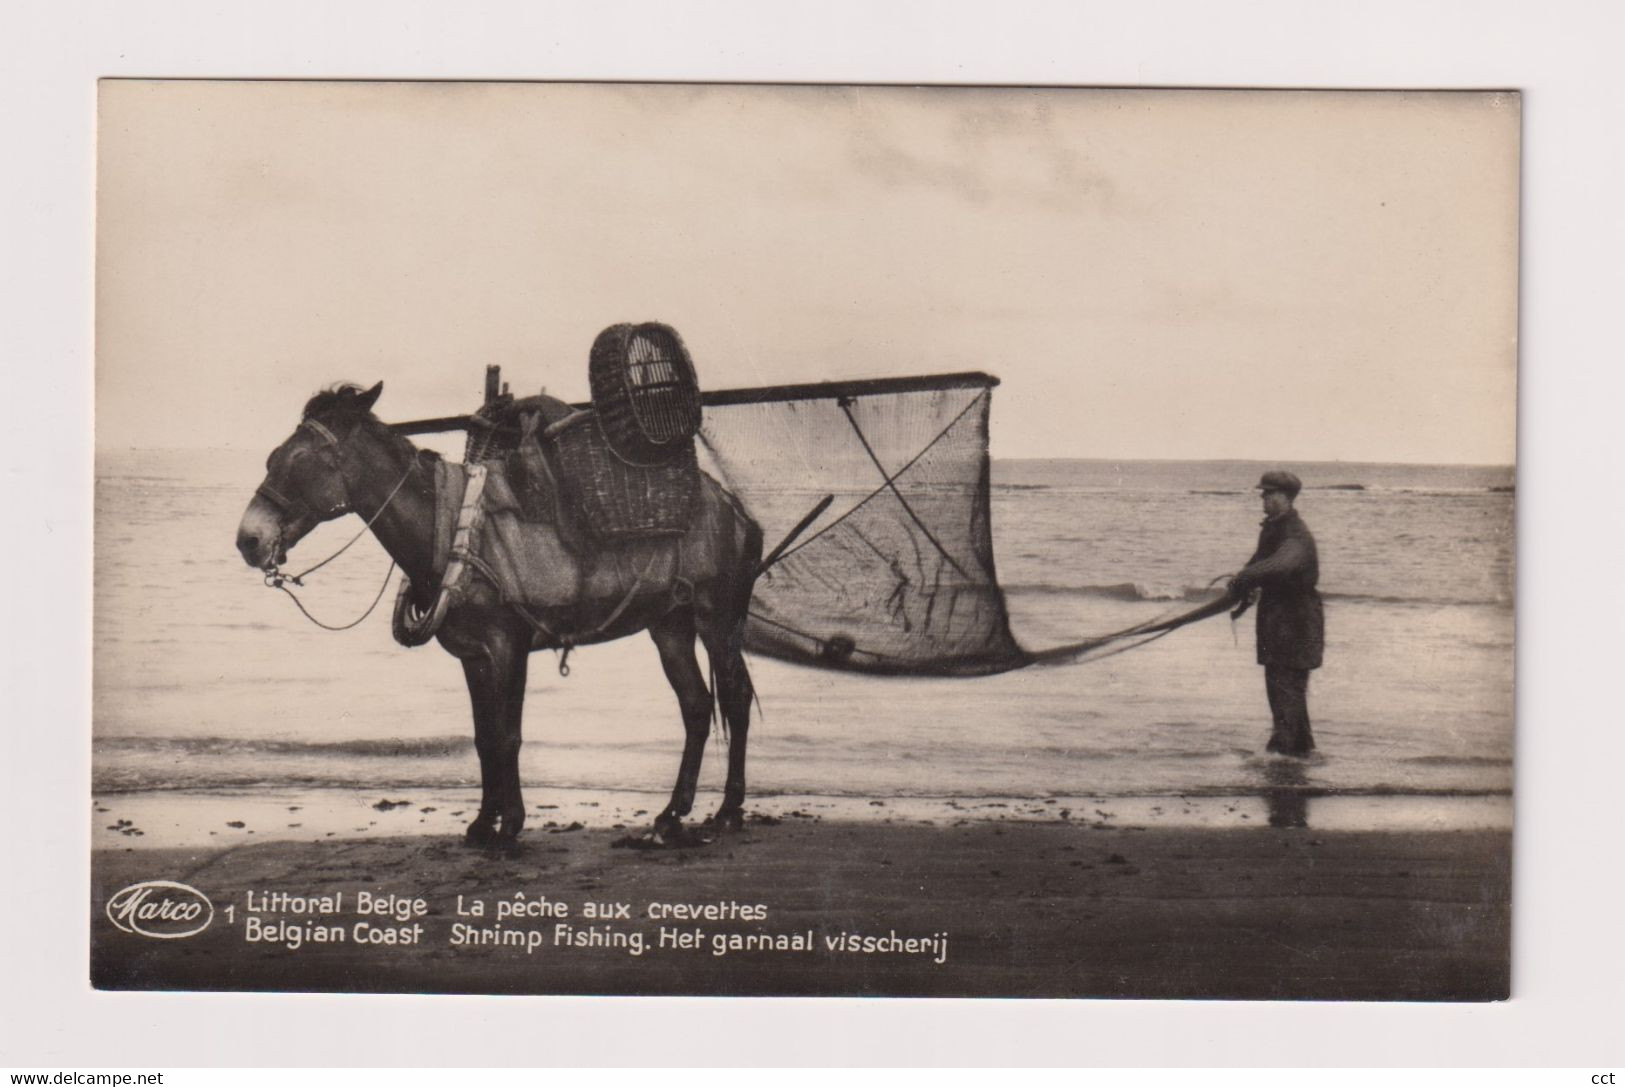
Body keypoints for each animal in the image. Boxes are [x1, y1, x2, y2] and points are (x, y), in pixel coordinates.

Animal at [232, 381, 763, 844]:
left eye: (303, 461)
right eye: (272, 458)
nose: (249, 540)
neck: (448, 527)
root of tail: (734, 508)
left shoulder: (509, 647)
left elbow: (508, 735)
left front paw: (511, 823)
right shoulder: (474, 656)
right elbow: (483, 737)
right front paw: (484, 821)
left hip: (717, 621)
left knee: (734, 699)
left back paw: (728, 810)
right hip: (669, 626)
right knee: (697, 707)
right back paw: (671, 814)